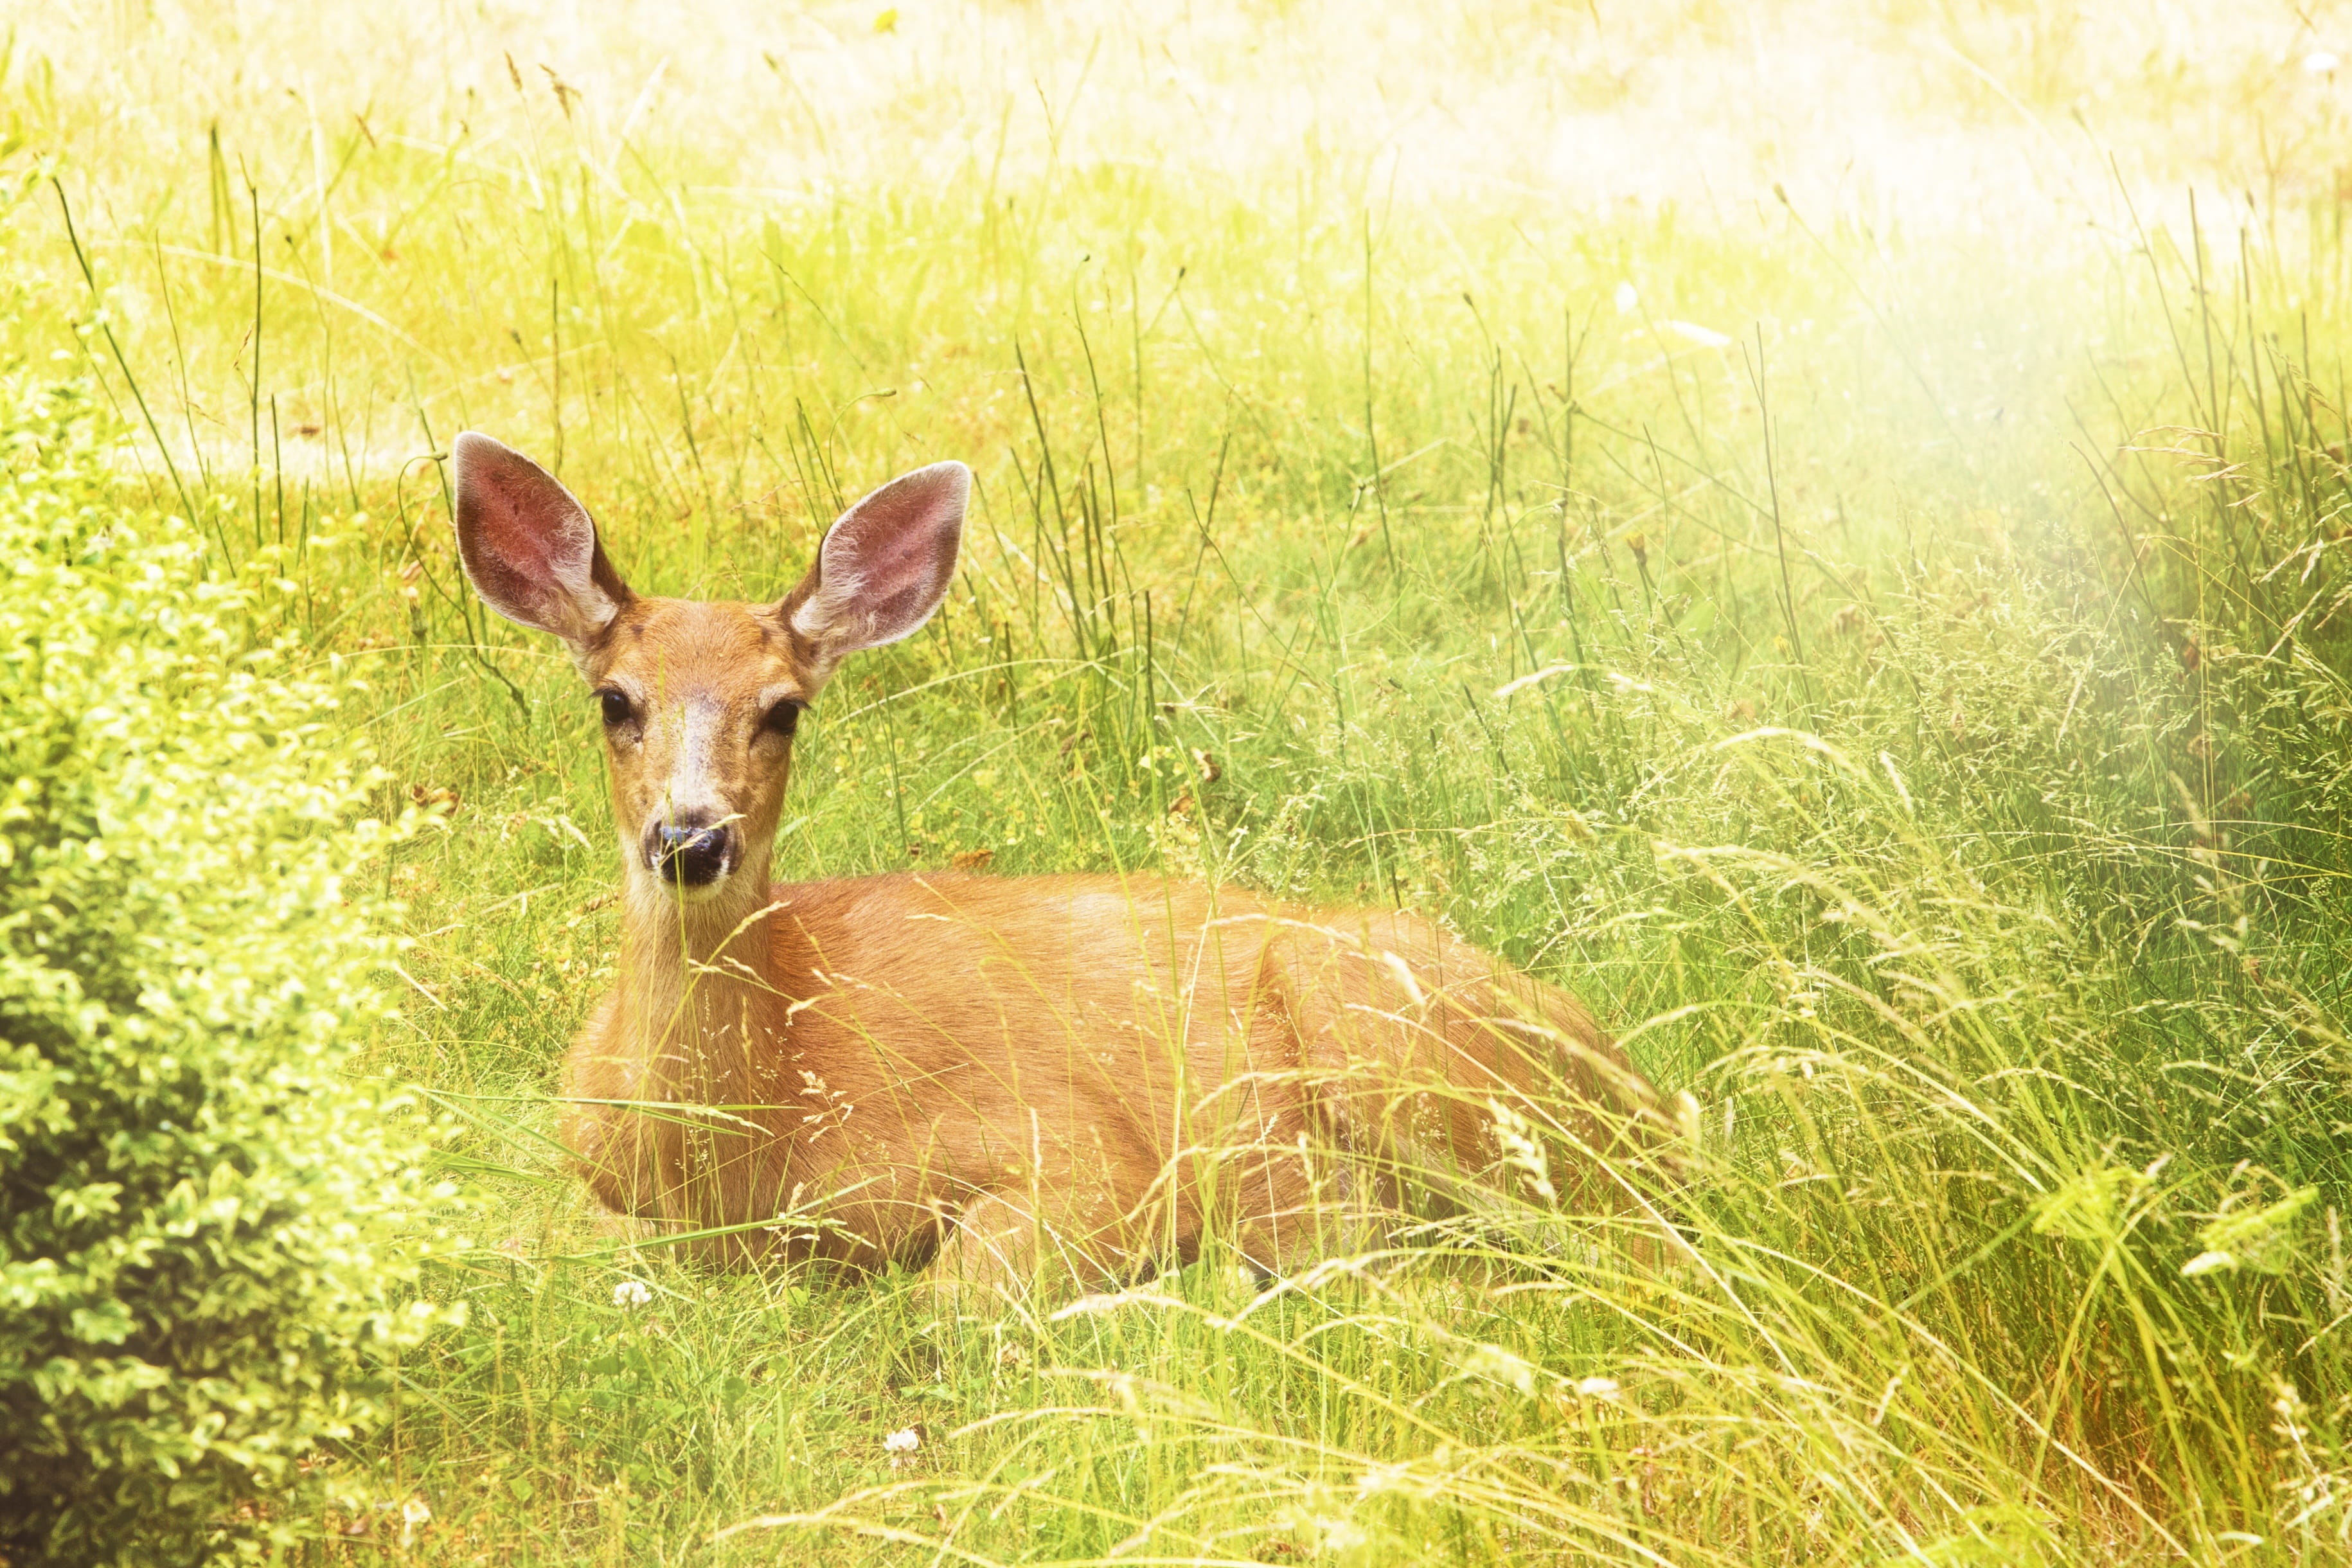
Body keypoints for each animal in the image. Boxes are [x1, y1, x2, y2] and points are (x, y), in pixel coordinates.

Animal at [450, 431, 1676, 1294]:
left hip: (1390, 1029)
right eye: (615, 700)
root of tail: (1647, 1095)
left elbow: (950, 1300)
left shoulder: (1078, 1151)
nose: (692, 838)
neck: (737, 1154)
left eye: (785, 710)